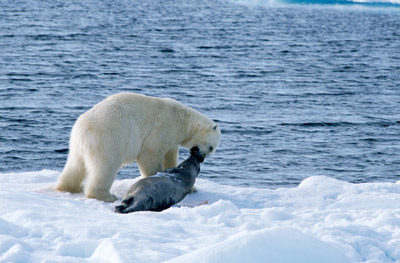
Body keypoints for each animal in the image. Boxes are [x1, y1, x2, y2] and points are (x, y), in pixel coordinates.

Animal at [55, 93, 222, 202]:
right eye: (211, 147)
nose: (201, 158)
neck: (185, 120)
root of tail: (83, 130)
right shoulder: (164, 126)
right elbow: (151, 153)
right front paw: (156, 178)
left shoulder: (172, 139)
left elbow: (170, 156)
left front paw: (192, 188)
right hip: (110, 139)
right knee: (105, 168)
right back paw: (106, 196)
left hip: (78, 144)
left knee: (75, 165)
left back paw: (71, 187)